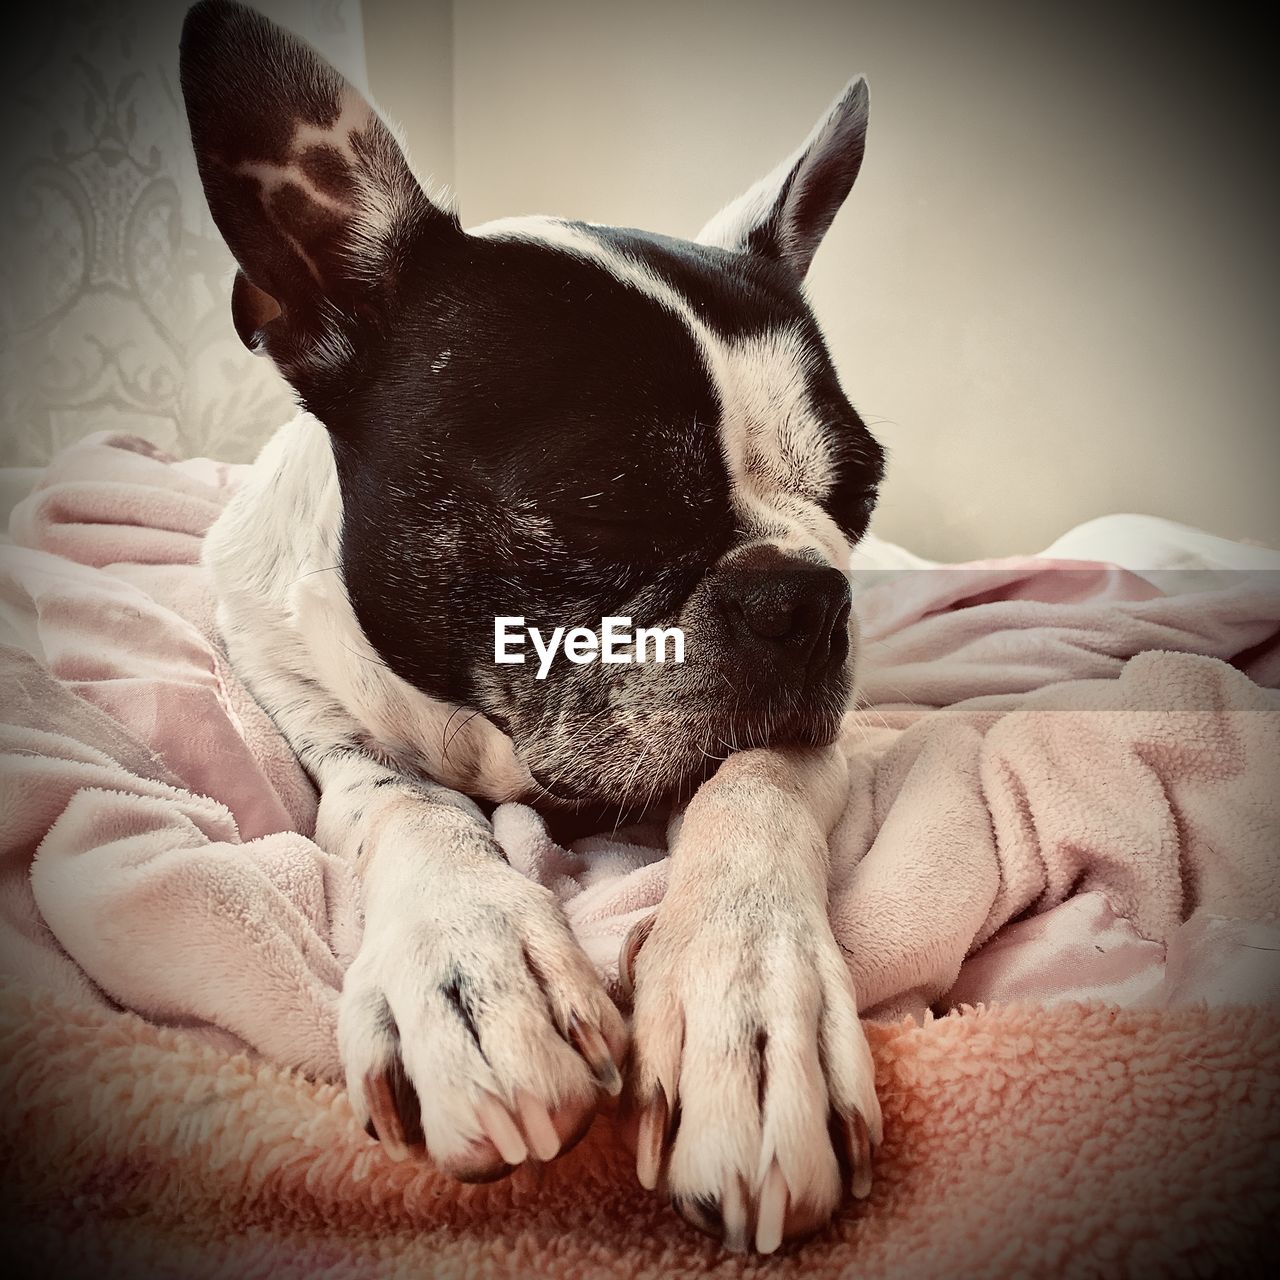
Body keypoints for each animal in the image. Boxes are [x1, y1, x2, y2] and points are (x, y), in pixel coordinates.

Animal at [177, 0, 880, 1254]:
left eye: (859, 498)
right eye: (601, 507)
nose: (806, 595)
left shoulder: (813, 734)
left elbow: (753, 782)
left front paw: (750, 1010)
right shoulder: (308, 711)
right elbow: (401, 803)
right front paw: (471, 961)